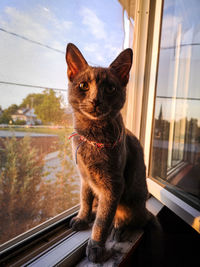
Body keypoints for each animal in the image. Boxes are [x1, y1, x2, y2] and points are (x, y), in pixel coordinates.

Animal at [65, 43, 155, 262]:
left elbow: (103, 220)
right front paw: (82, 217)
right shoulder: (85, 178)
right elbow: (85, 199)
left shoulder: (113, 185)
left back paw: (118, 229)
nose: (95, 100)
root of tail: (146, 210)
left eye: (111, 88)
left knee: (129, 219)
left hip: (131, 201)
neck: (91, 137)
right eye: (83, 86)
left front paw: (96, 246)